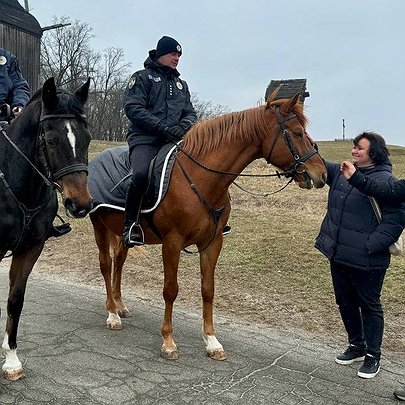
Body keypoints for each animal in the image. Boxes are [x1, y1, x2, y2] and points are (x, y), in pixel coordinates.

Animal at [0, 78, 93, 378]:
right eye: (51, 141)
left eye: (87, 138)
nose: (80, 204)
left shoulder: (31, 248)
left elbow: (15, 299)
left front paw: (12, 358)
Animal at [88, 90, 326, 360]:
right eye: (297, 133)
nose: (322, 174)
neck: (200, 178)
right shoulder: (172, 242)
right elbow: (170, 289)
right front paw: (168, 341)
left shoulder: (212, 242)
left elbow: (208, 289)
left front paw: (212, 341)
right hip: (99, 226)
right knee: (106, 265)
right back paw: (112, 314)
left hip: (123, 232)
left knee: (118, 261)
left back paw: (120, 306)